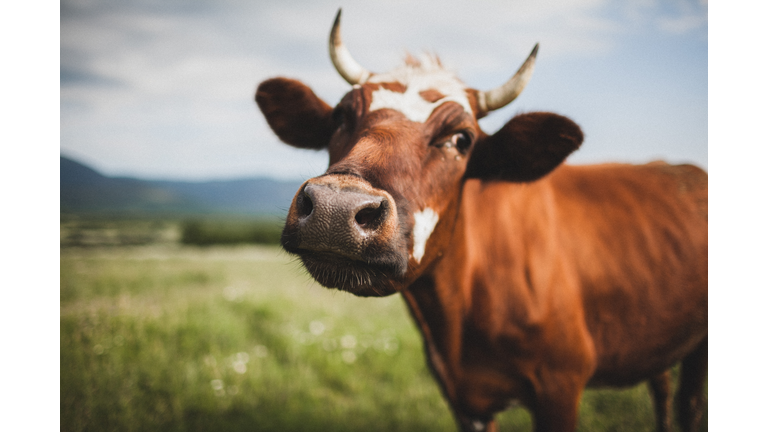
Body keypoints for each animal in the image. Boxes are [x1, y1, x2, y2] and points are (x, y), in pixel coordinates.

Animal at [254, 10, 708, 432]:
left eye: (462, 139)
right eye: (340, 118)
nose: (335, 207)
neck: (456, 317)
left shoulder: (561, 386)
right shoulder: (463, 400)